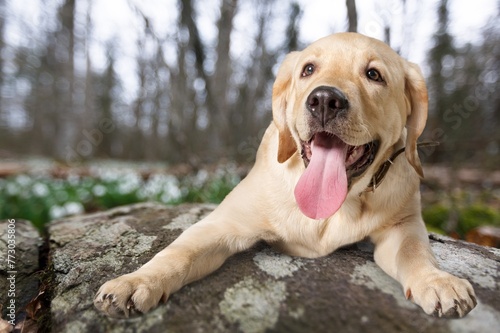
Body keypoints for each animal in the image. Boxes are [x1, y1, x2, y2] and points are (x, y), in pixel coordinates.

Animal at [93, 32, 476, 318]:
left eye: (374, 75)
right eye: (308, 69)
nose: (324, 100)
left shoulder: (403, 226)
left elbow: (415, 252)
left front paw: (437, 280)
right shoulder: (223, 223)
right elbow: (177, 253)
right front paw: (137, 281)